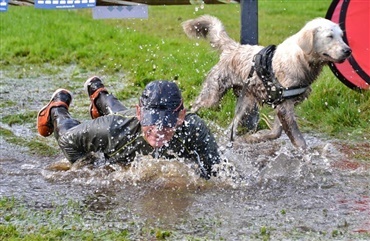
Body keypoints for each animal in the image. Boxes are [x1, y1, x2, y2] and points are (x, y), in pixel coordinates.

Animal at [184, 15, 352, 149]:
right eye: (330, 36)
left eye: (341, 36)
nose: (348, 51)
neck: (301, 60)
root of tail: (234, 48)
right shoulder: (285, 108)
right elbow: (299, 141)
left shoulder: (284, 104)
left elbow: (276, 133)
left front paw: (253, 138)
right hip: (211, 96)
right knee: (192, 107)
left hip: (246, 104)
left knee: (232, 127)